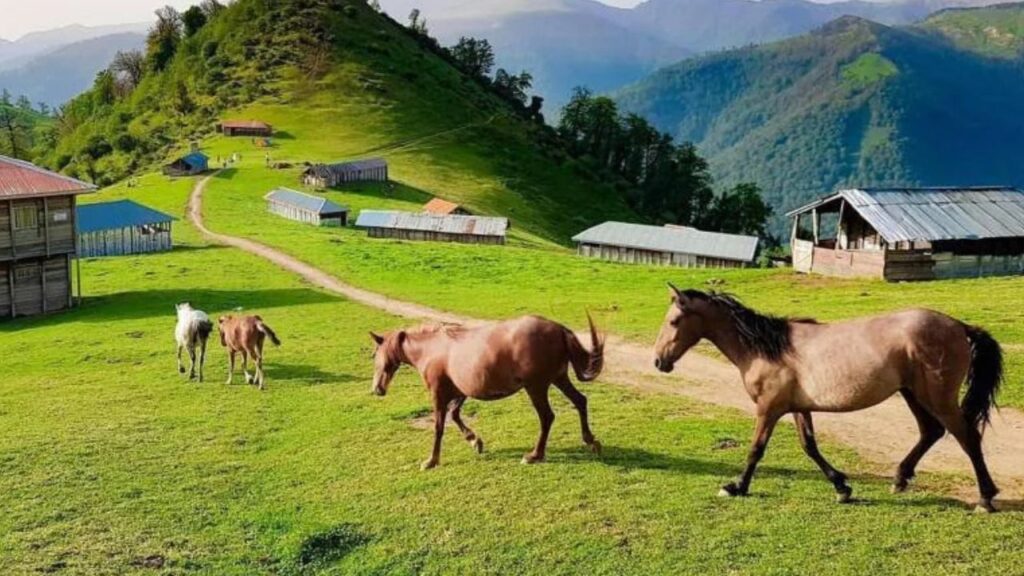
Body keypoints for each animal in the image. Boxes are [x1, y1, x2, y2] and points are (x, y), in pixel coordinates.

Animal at [370, 315, 604, 470]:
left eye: (374, 355)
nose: (376, 389)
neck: (432, 349)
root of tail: (559, 329)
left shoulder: (438, 394)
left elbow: (439, 427)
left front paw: (431, 461)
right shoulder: (461, 391)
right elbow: (455, 415)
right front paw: (475, 441)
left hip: (536, 387)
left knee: (547, 417)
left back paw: (534, 455)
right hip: (559, 379)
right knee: (580, 401)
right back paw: (591, 442)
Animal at [653, 284, 1003, 512]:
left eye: (673, 321)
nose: (659, 361)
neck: (766, 349)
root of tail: (959, 326)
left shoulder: (769, 409)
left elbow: (756, 450)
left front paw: (736, 487)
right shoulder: (797, 408)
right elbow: (810, 446)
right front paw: (842, 487)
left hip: (937, 396)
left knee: (967, 437)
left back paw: (986, 498)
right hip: (913, 393)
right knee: (931, 431)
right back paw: (900, 479)